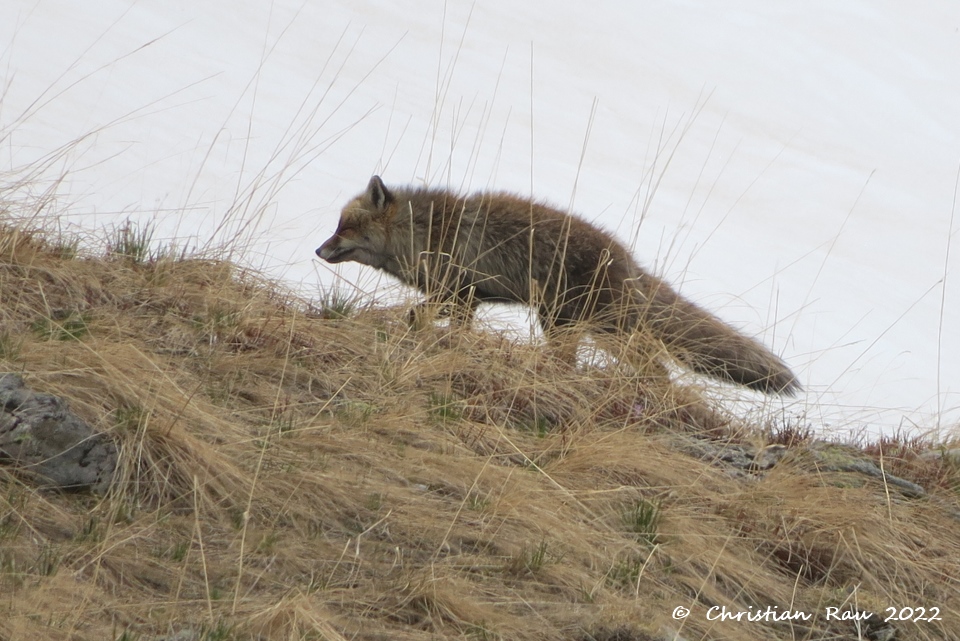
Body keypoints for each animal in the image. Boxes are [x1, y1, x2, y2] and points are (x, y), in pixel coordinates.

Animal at [316, 175, 804, 396]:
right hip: (569, 325)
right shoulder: (467, 299)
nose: (318, 250)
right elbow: (447, 328)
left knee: (653, 365)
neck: (425, 235)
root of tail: (629, 260)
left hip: (591, 327)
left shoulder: (454, 291)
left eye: (345, 228)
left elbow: (419, 317)